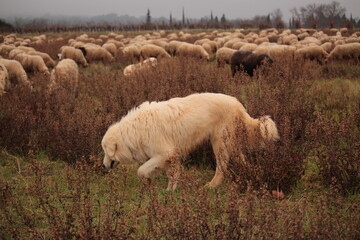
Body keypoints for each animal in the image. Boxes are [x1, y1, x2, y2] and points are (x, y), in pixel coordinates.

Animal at [101, 93, 278, 190]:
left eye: (106, 152)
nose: (103, 165)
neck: (131, 132)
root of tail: (239, 105)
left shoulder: (165, 153)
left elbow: (141, 170)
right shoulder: (170, 157)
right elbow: (171, 173)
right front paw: (169, 190)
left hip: (220, 143)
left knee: (222, 167)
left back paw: (212, 185)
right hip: (230, 144)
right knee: (242, 160)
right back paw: (251, 176)